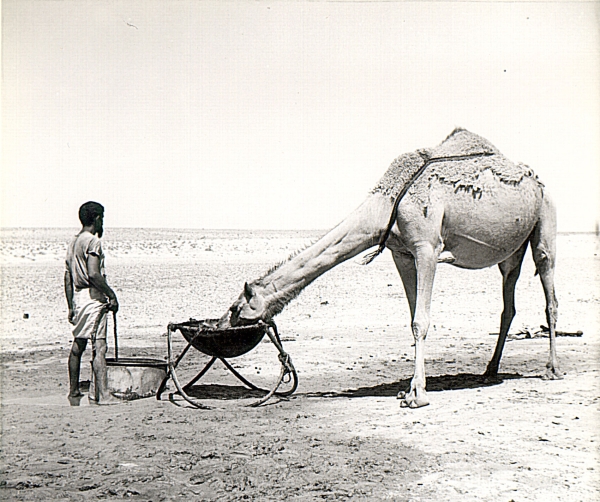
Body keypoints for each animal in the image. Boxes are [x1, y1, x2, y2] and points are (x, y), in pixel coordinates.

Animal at [223, 128, 560, 408]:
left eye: (235, 309)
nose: (221, 327)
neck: (387, 204)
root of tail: (538, 181)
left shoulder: (427, 246)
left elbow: (421, 321)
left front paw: (417, 395)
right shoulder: (402, 253)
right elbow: (412, 319)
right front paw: (407, 389)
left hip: (545, 218)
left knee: (549, 290)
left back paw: (552, 369)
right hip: (510, 252)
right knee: (508, 303)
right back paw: (490, 369)